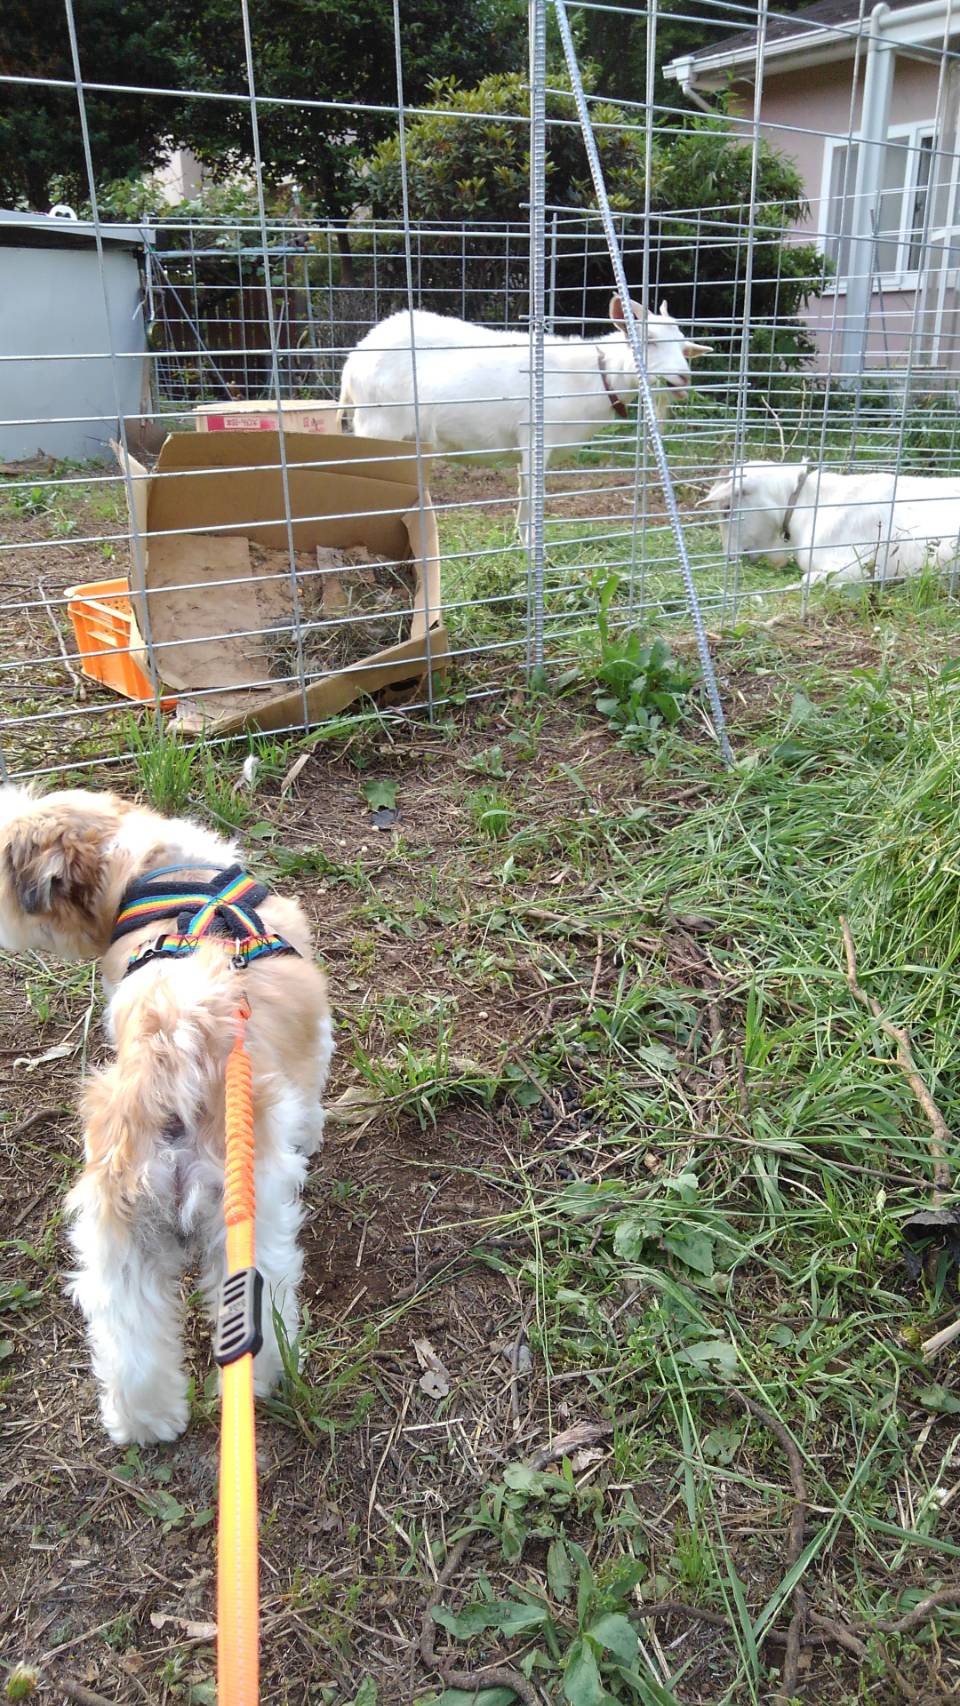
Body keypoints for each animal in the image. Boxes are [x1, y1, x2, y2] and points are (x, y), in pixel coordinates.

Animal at [0, 786, 332, 1445]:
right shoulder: (315, 1044)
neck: (161, 869)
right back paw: (267, 1384)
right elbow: (310, 1104)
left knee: (129, 1340)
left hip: (119, 1242)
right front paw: (310, 1138)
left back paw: (146, 1420)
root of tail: (171, 1053)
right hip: (248, 1225)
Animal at [337, 297, 712, 544]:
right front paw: (534, 552)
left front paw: (522, 542)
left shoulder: (525, 447)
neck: (594, 376)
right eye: (648, 341)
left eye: (683, 346)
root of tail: (354, 359)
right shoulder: (537, 441)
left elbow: (522, 496)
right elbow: (534, 499)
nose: (683, 378)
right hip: (378, 425)